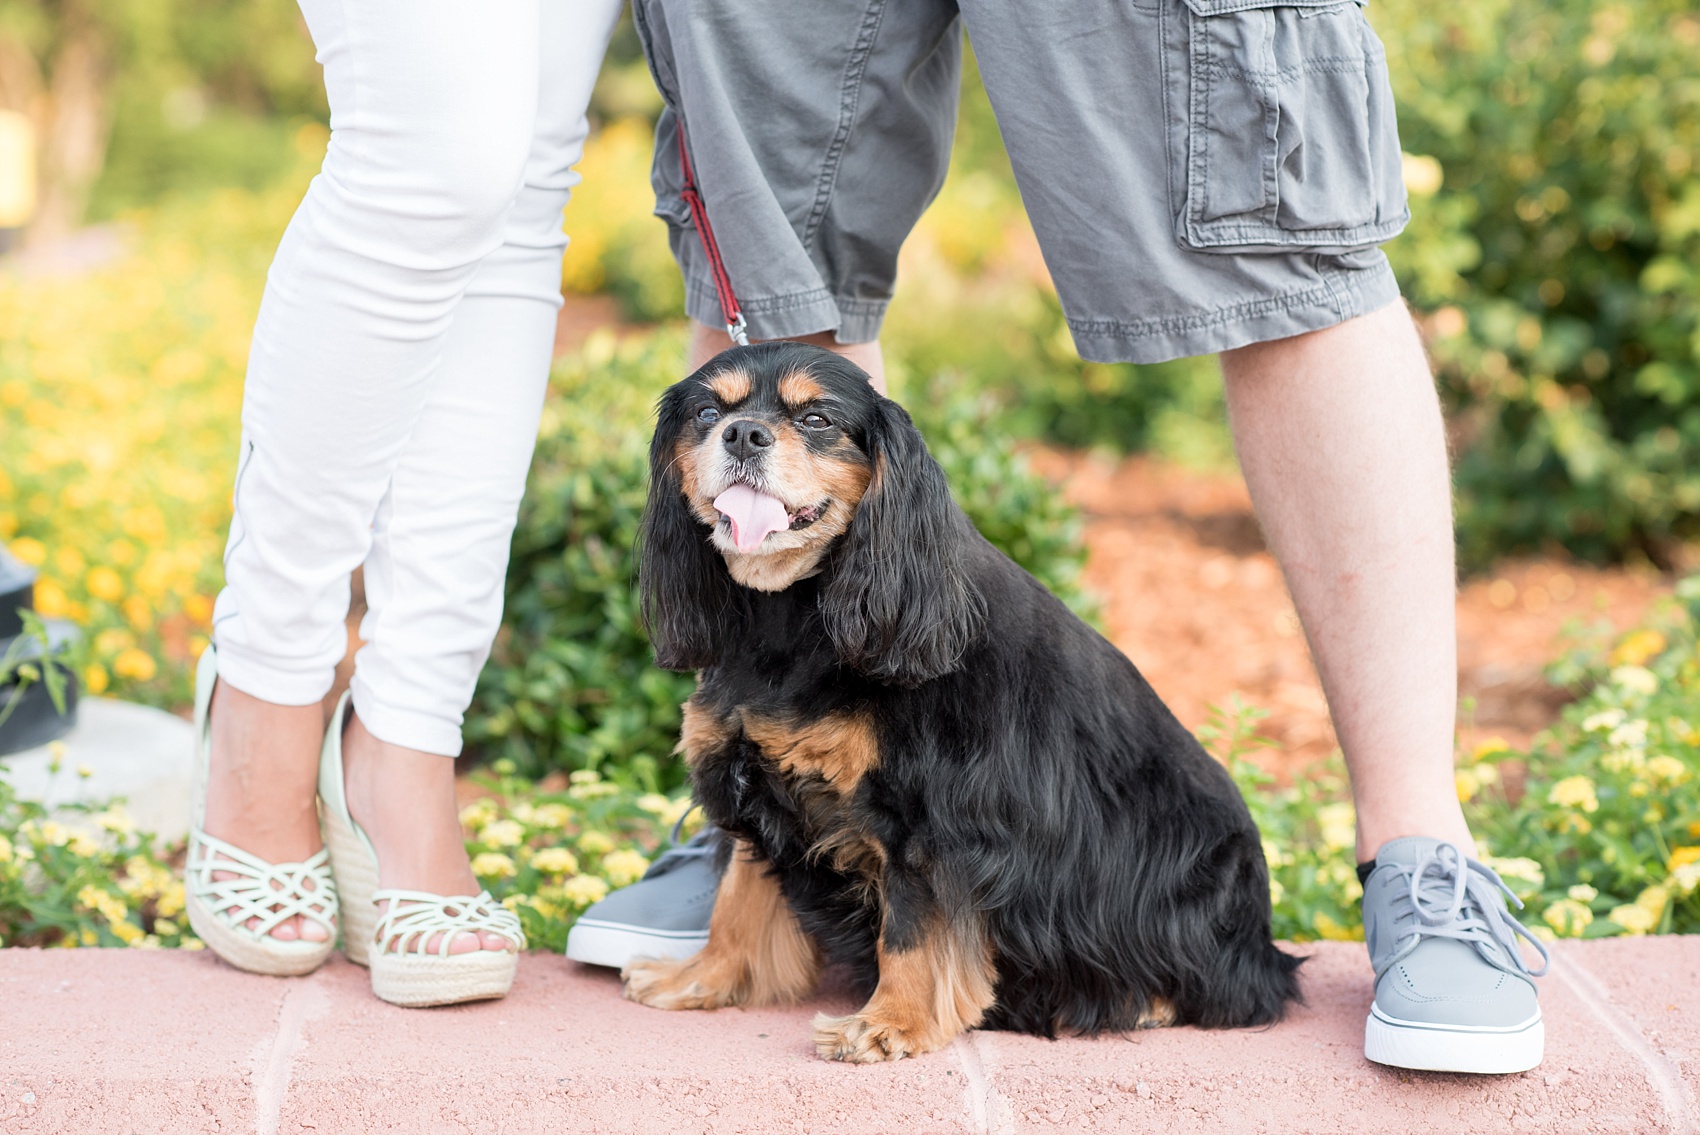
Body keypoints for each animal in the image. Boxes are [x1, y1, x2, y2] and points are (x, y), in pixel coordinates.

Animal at [625, 341, 1298, 1060]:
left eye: (816, 418)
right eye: (706, 412)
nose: (743, 434)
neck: (795, 613)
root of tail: (1263, 942)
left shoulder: (930, 814)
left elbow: (913, 930)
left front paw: (888, 1023)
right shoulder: (755, 784)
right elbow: (738, 899)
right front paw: (702, 978)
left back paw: (1144, 999)